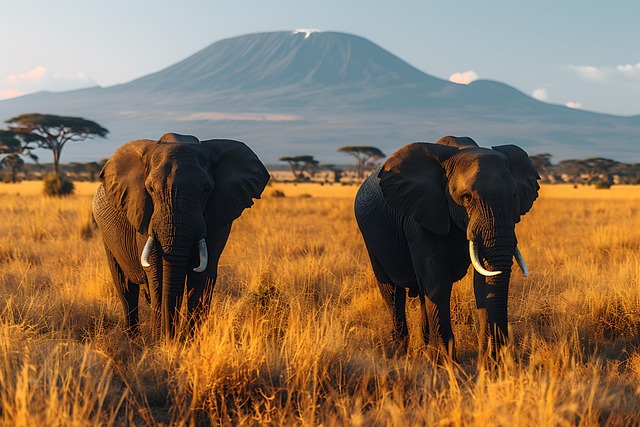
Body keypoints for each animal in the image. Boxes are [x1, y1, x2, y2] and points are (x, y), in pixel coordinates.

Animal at [92, 132, 270, 340]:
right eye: (150, 189)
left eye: (206, 191)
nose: (170, 337)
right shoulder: (143, 215)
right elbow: (156, 271)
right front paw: (160, 341)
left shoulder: (219, 214)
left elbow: (203, 273)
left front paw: (191, 342)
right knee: (125, 286)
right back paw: (132, 340)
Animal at [356, 135, 540, 360]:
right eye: (467, 197)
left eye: (514, 196)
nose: (504, 350)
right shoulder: (418, 214)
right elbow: (437, 279)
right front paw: (446, 361)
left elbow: (482, 280)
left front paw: (490, 360)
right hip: (372, 240)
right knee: (392, 292)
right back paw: (400, 353)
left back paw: (425, 349)